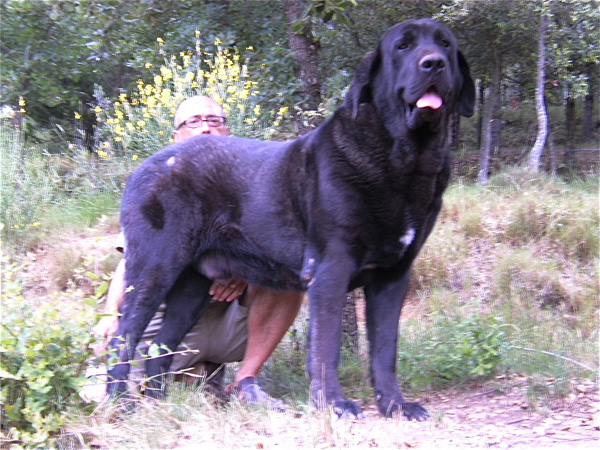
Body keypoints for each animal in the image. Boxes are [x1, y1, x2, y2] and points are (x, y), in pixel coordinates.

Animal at [106, 19, 474, 420]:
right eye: (403, 47)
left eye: (445, 44)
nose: (433, 63)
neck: (405, 163)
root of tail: (145, 168)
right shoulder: (330, 270)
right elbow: (326, 348)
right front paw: (334, 405)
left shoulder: (393, 277)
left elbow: (384, 350)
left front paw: (395, 405)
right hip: (154, 270)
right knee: (122, 339)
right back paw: (119, 404)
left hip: (190, 287)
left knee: (160, 348)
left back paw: (161, 408)